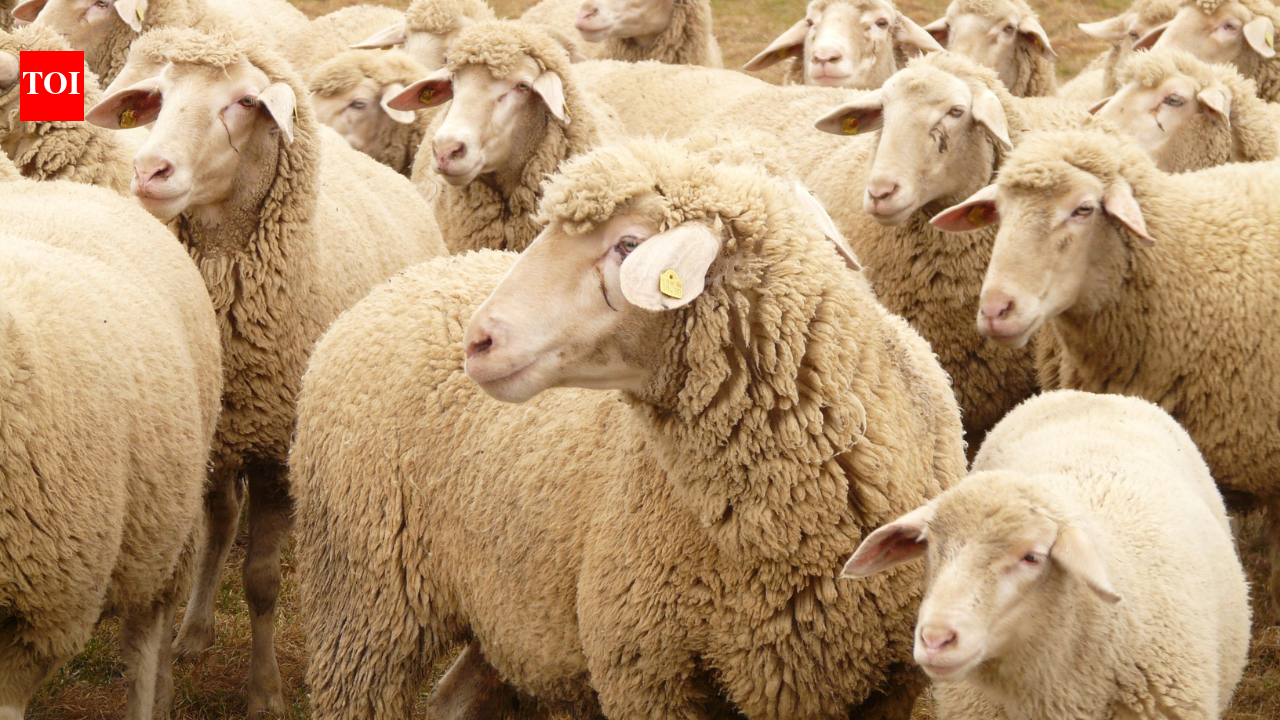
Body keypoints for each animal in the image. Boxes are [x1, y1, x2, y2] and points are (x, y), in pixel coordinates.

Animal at [84, 27, 448, 716]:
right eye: (159, 97)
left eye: (245, 102)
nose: (149, 171)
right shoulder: (204, 443)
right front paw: (168, 668)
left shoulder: (278, 450)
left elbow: (261, 580)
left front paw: (266, 693)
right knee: (221, 523)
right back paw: (195, 630)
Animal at [294, 136, 966, 720]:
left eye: (628, 245)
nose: (478, 341)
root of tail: (398, 284)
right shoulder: (645, 671)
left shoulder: (887, 686)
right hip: (362, 604)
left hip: (510, 613)